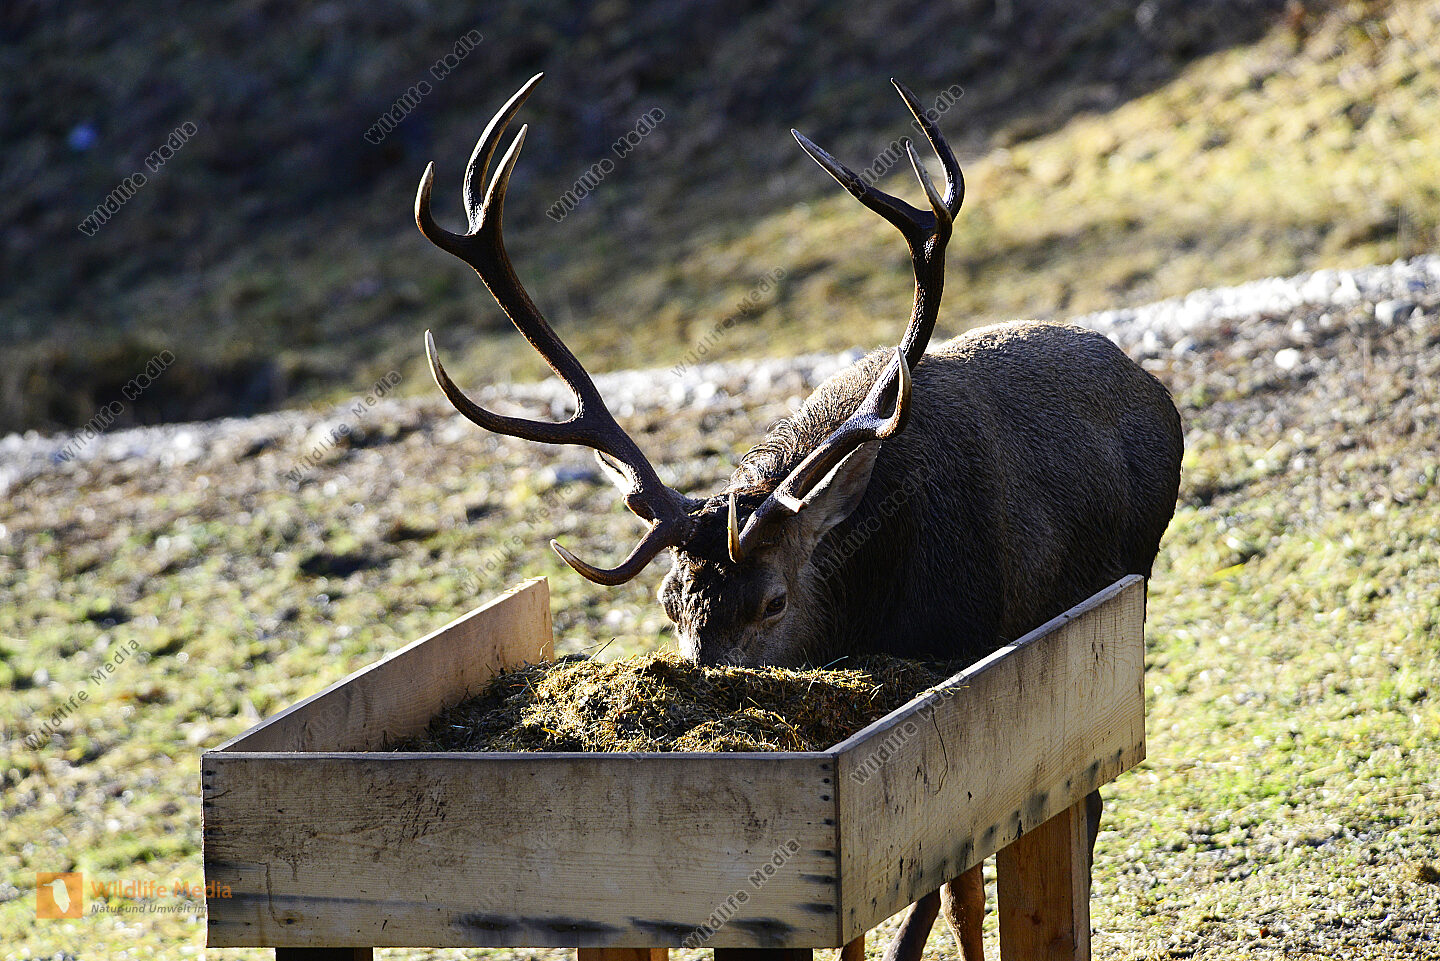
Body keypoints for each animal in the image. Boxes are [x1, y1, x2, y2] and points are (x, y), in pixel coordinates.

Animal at [414, 73, 1183, 961]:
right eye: (669, 602)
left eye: (773, 600)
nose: (708, 682)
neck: (875, 599)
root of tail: (1161, 398)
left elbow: (940, 880)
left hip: (1125, 597)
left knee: (1079, 807)